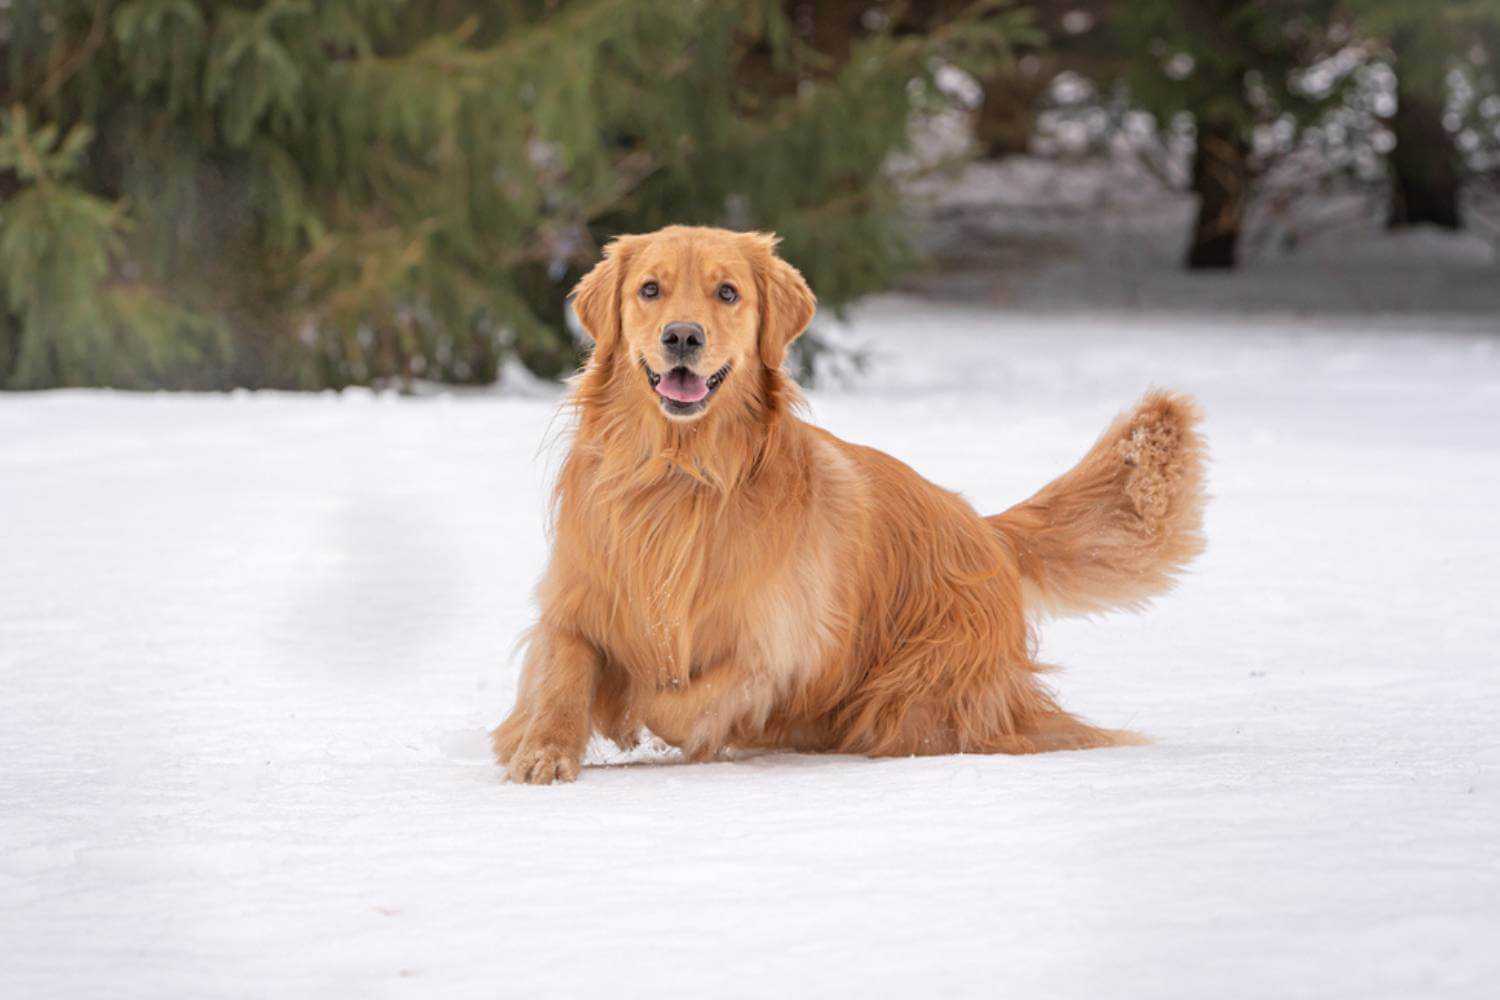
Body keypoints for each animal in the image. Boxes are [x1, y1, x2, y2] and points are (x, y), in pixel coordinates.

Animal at [492, 224, 1206, 779]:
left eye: (728, 292)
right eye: (649, 290)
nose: (683, 337)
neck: (679, 474)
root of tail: (988, 528)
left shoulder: (772, 649)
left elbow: (675, 701)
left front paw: (629, 710)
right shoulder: (578, 597)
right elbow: (563, 670)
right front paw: (542, 749)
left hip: (913, 691)